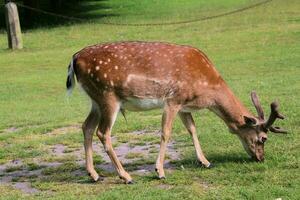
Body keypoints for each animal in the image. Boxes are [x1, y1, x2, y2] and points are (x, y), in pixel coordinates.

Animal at [65, 41, 286, 184]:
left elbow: (192, 129)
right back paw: (126, 177)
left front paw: (205, 162)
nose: (261, 158)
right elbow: (166, 132)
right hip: (108, 95)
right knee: (103, 132)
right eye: (263, 138)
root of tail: (74, 58)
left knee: (86, 127)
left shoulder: (184, 106)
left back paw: (94, 175)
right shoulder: (173, 100)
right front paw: (160, 171)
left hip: (95, 100)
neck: (207, 89)